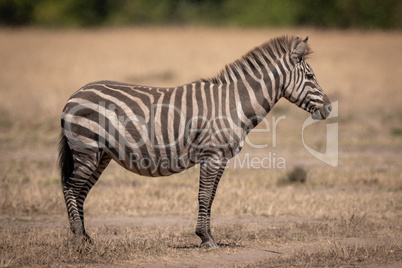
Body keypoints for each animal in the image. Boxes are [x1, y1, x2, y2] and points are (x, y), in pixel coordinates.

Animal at [59, 35, 330, 247]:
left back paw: (85, 237)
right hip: (87, 149)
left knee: (80, 191)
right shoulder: (211, 155)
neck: (234, 103)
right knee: (71, 188)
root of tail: (73, 95)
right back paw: (77, 238)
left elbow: (211, 196)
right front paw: (205, 238)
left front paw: (208, 236)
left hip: (101, 155)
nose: (328, 108)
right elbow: (204, 195)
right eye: (310, 75)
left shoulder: (222, 158)